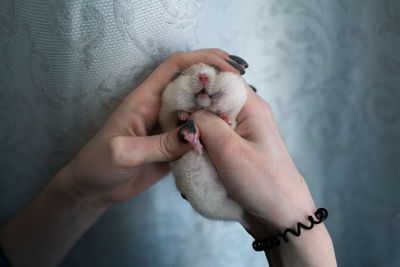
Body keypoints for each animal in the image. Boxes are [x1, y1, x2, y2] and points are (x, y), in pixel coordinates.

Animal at [159, 63, 247, 226]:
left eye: (216, 69)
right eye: (183, 75)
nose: (203, 75)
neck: (202, 108)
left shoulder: (235, 124)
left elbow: (230, 122)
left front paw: (224, 118)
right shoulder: (167, 119)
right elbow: (177, 117)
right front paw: (183, 115)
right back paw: (192, 138)